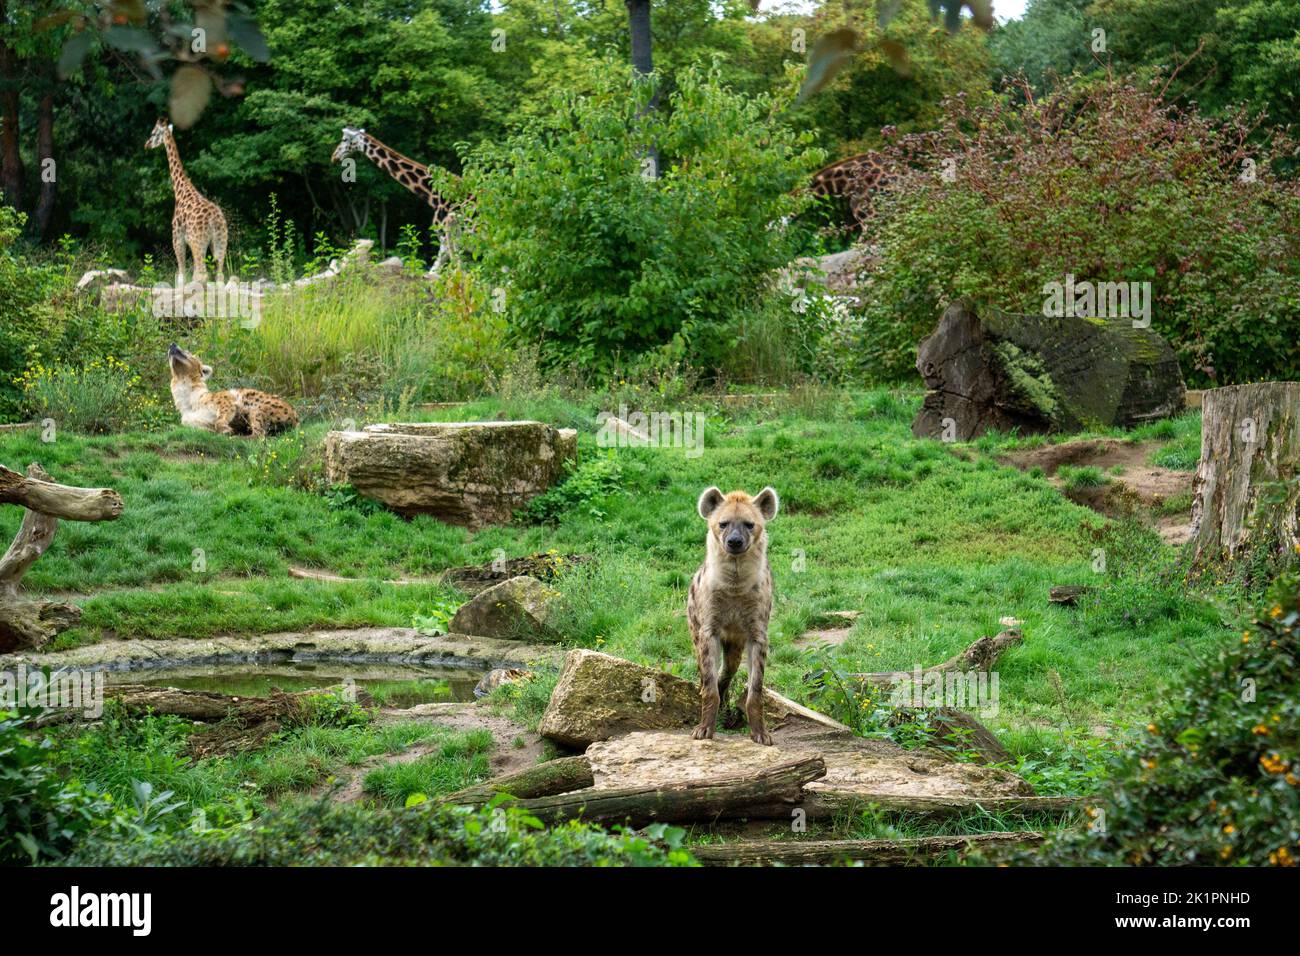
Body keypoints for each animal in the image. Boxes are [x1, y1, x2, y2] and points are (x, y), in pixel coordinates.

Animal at [145, 118, 228, 286]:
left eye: (153, 132)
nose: (146, 144)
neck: (180, 190)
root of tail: (214, 220)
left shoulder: (177, 237)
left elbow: (181, 274)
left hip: (198, 242)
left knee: (203, 274)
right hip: (220, 241)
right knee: (219, 275)